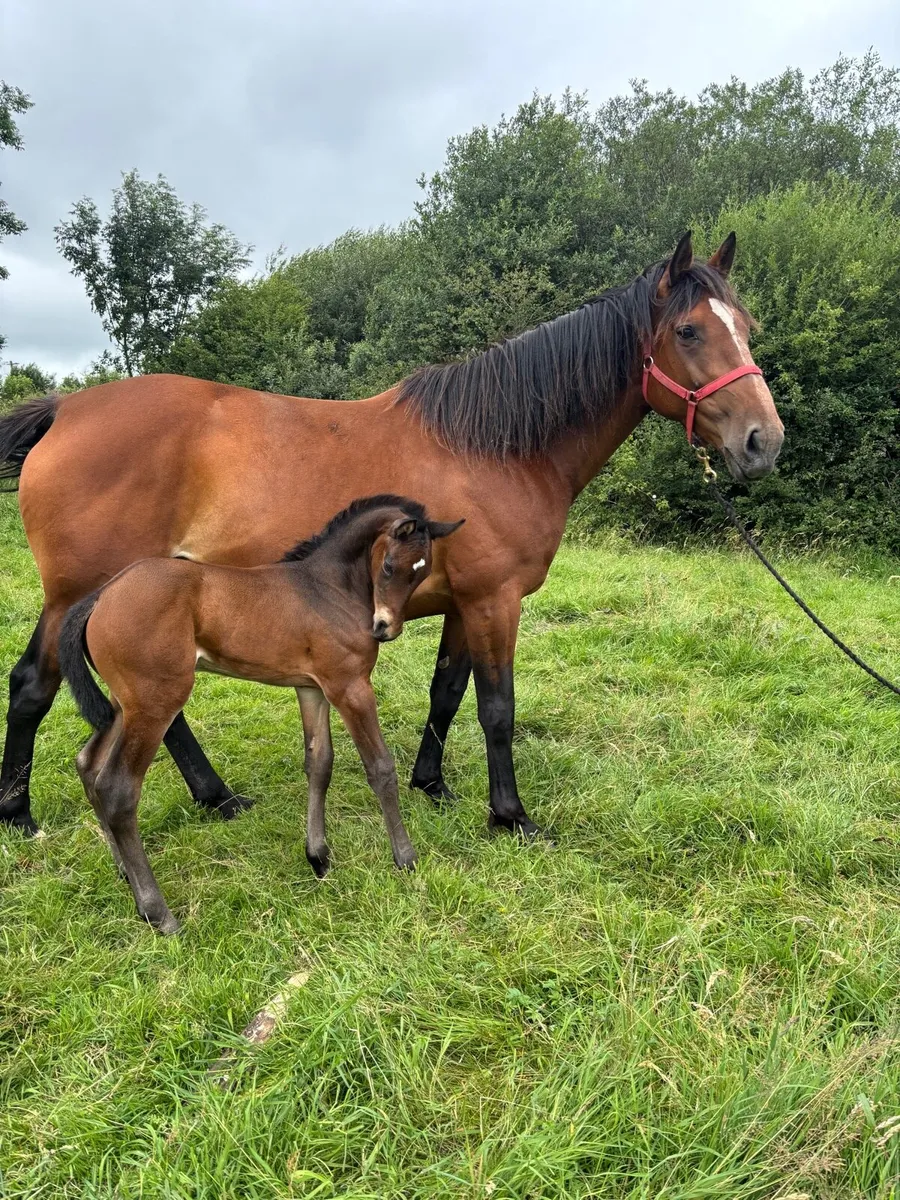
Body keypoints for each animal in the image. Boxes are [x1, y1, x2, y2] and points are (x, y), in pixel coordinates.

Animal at [0, 231, 784, 840]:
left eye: (747, 326)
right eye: (689, 331)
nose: (763, 441)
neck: (493, 447)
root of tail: (65, 411)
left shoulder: (464, 602)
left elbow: (448, 693)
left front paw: (431, 784)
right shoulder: (496, 600)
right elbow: (498, 709)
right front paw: (510, 816)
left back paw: (213, 797)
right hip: (80, 596)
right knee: (37, 684)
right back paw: (21, 816)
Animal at [57, 495, 463, 933]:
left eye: (422, 571)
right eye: (389, 566)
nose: (385, 627)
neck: (327, 588)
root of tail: (101, 596)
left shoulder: (313, 689)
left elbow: (319, 763)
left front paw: (318, 856)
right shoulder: (350, 686)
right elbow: (380, 768)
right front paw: (405, 858)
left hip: (123, 704)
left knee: (89, 765)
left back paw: (123, 873)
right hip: (155, 703)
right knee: (118, 788)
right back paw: (157, 913)